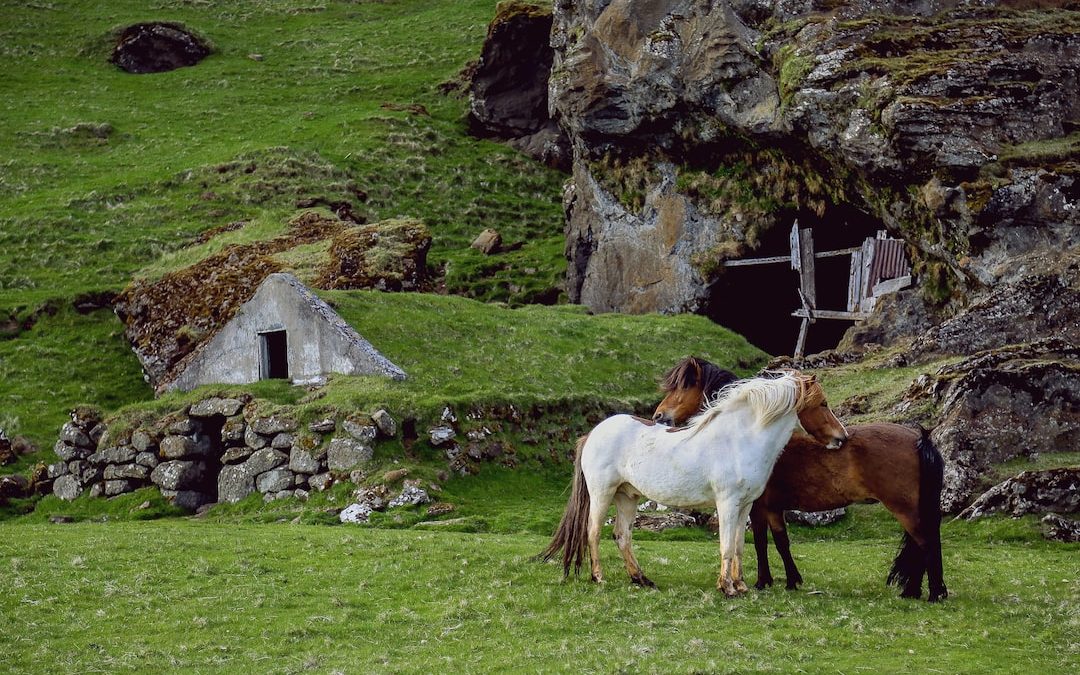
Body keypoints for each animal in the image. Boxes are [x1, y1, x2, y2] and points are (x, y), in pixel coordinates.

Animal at [537, 369, 842, 596]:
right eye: (823, 404)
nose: (842, 437)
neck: (740, 440)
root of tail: (592, 434)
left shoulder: (745, 506)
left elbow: (739, 546)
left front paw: (741, 585)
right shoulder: (727, 503)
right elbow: (726, 545)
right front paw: (727, 588)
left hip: (627, 496)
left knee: (622, 535)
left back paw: (641, 579)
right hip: (602, 494)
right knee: (593, 532)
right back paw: (598, 577)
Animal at [648, 356, 946, 604]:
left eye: (682, 387)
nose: (658, 416)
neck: (750, 436)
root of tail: (920, 437)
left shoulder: (758, 507)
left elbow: (761, 541)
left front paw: (763, 581)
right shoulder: (773, 508)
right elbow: (781, 541)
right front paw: (791, 581)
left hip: (904, 509)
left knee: (926, 543)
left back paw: (933, 594)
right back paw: (913, 591)